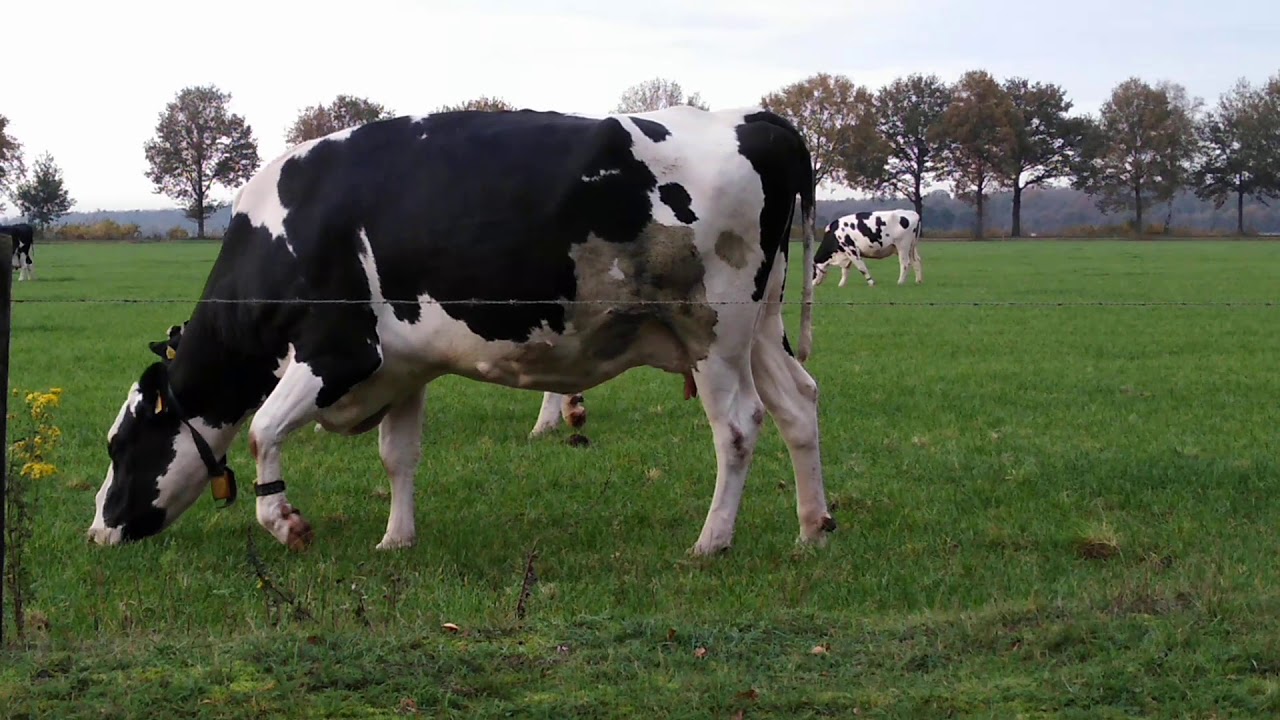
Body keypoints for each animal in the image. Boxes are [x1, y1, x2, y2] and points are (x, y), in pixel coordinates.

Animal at [88, 105, 834, 558]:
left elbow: (264, 429)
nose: (97, 528)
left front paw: (285, 523)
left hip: (712, 329)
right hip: (760, 329)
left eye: (120, 443)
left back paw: (712, 542)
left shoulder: (342, 351)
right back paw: (812, 527)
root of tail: (756, 120)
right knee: (799, 405)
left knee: (737, 426)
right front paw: (397, 539)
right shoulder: (401, 366)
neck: (288, 227)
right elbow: (398, 455)